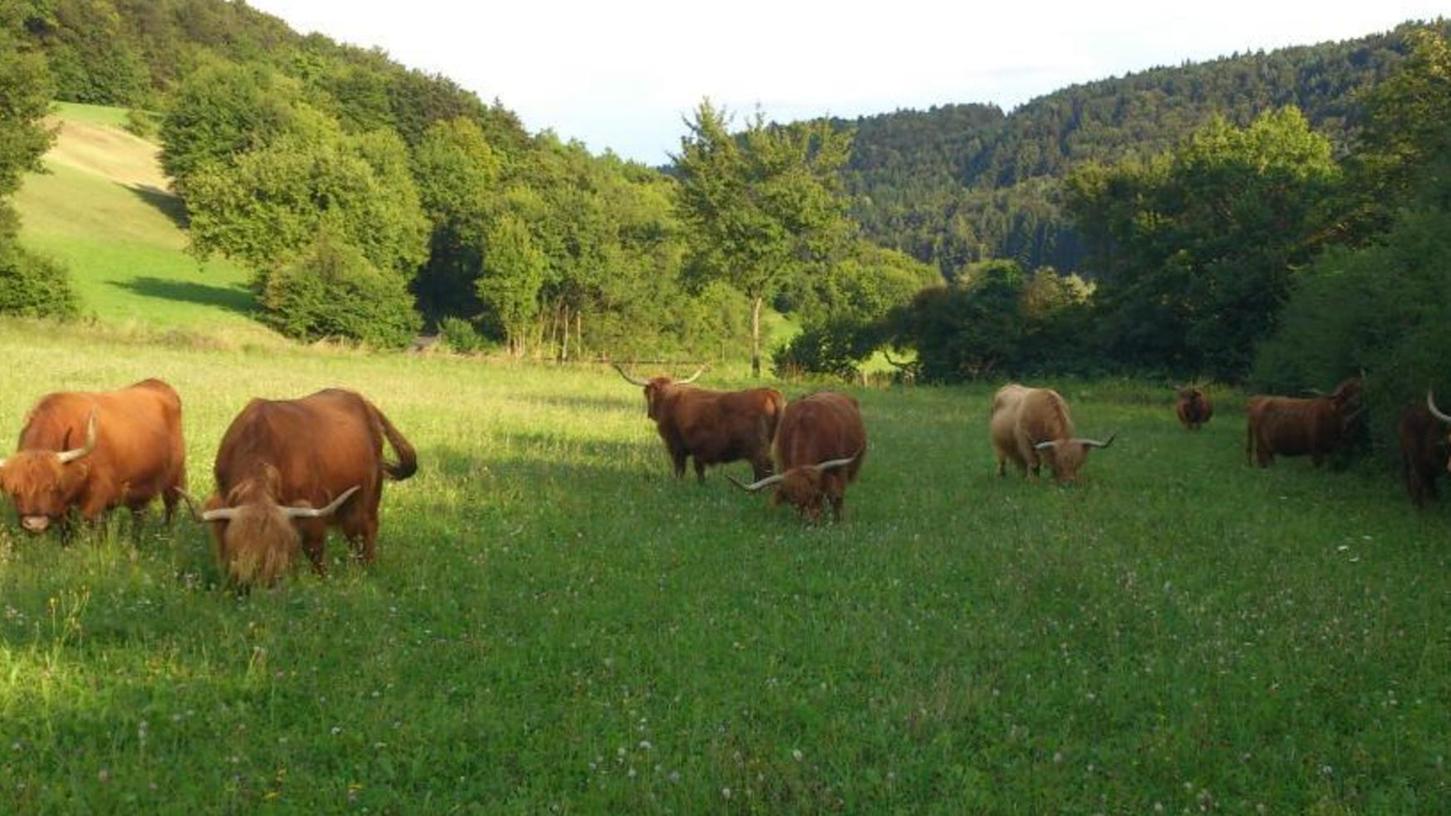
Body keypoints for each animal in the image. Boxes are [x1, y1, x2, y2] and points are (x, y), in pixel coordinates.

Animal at [0, 377, 187, 534]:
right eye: (15, 490)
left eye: (51, 486)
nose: (35, 524)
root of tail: (157, 384)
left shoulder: (96, 498)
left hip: (175, 478)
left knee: (171, 507)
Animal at [192, 386, 414, 583]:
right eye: (240, 548)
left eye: (278, 548)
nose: (260, 585)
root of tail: (362, 400)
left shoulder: (312, 507)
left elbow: (314, 549)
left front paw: (321, 581)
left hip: (368, 496)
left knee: (365, 531)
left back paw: (367, 569)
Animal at [618, 362, 789, 482]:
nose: (650, 413)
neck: (669, 398)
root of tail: (769, 392)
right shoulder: (698, 452)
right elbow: (699, 471)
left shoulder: (675, 446)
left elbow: (680, 469)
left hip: (758, 449)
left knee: (765, 468)